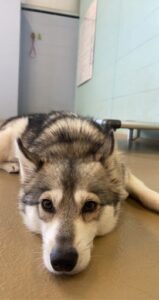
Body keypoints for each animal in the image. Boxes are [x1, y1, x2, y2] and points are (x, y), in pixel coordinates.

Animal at [0, 112, 159, 274]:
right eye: (47, 204)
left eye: (90, 205)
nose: (62, 260)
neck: (72, 147)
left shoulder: (123, 172)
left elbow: (142, 190)